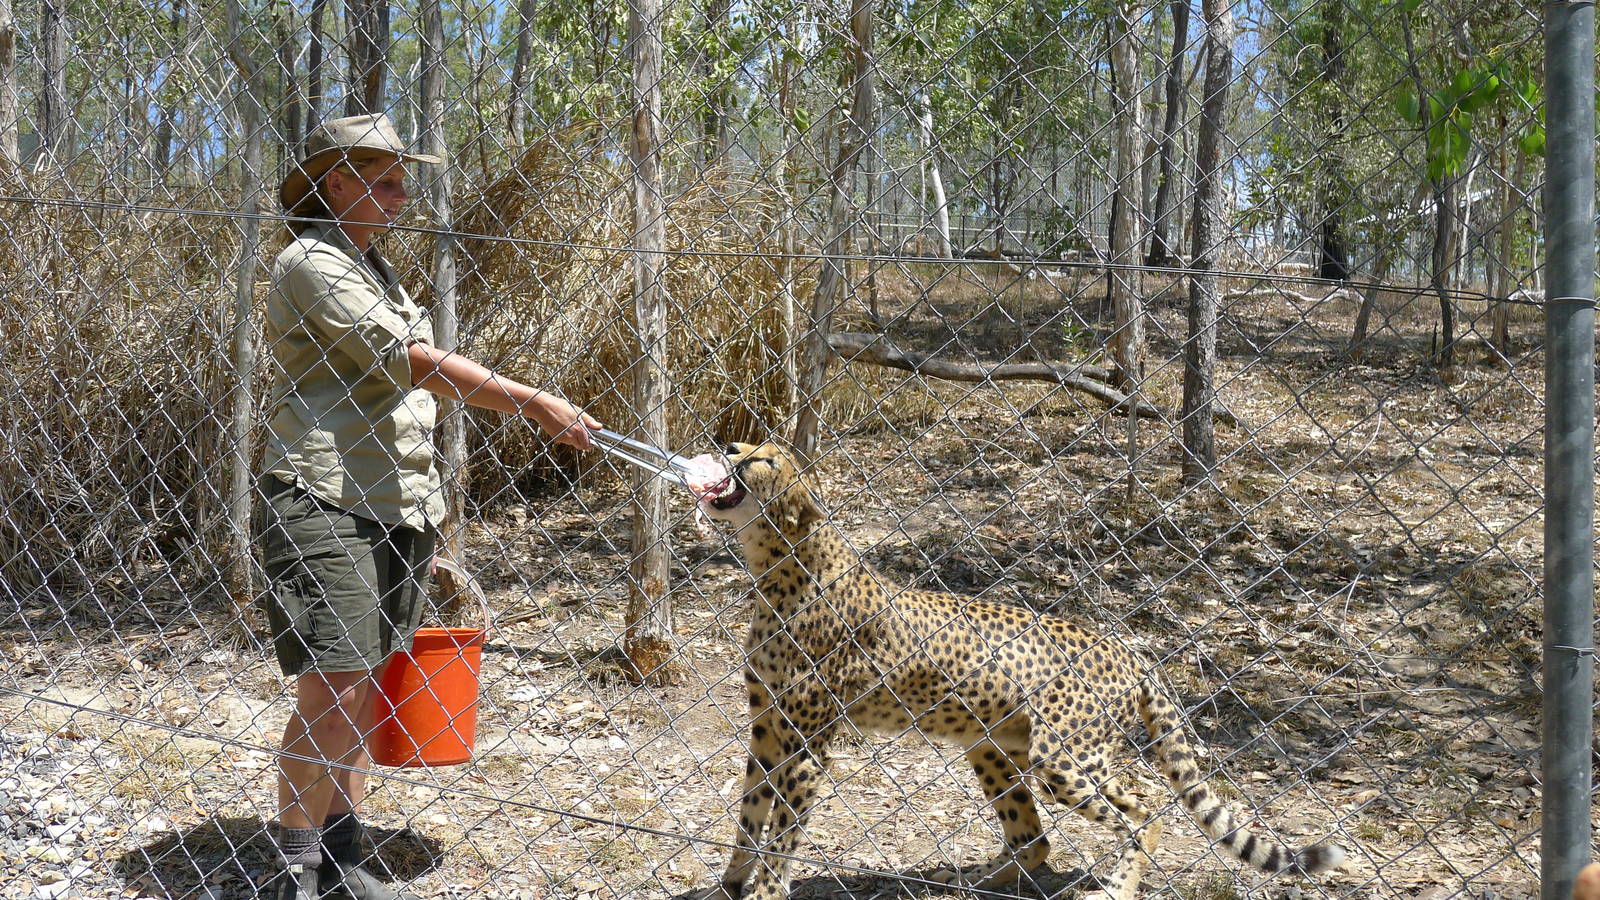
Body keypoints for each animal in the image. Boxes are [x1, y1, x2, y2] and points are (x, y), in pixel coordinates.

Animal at [695, 441, 1346, 900]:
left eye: (764, 457)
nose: (728, 447)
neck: (777, 563)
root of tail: (1127, 647)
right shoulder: (767, 727)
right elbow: (750, 812)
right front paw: (729, 882)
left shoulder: (808, 740)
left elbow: (781, 834)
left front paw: (764, 890)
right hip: (993, 745)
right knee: (1036, 838)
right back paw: (974, 882)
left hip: (1061, 755)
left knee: (1141, 808)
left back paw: (1115, 889)